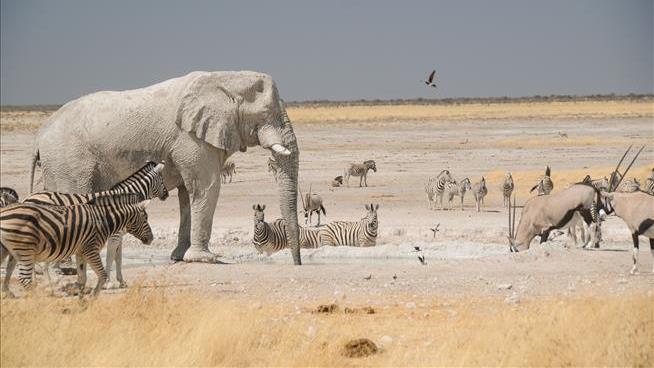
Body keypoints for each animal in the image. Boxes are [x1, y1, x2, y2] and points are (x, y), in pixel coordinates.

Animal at [0, 191, 154, 298]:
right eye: (146, 218)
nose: (151, 239)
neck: (103, 219)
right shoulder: (91, 249)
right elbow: (102, 275)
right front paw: (92, 296)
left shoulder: (81, 251)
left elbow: (82, 277)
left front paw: (79, 294)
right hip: (24, 249)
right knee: (24, 278)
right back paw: (37, 300)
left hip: (10, 250)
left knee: (10, 271)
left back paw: (9, 294)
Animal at [22, 162, 168, 288]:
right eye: (162, 180)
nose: (166, 194)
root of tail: (28, 198)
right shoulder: (115, 235)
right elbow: (110, 258)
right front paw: (108, 282)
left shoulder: (119, 236)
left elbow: (118, 258)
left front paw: (121, 281)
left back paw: (36, 283)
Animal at [32, 69, 304, 264]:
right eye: (266, 113)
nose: (297, 264)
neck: (225, 79)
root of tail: (40, 135)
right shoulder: (191, 139)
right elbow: (206, 188)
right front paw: (204, 259)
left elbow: (187, 195)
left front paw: (180, 257)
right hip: (68, 161)